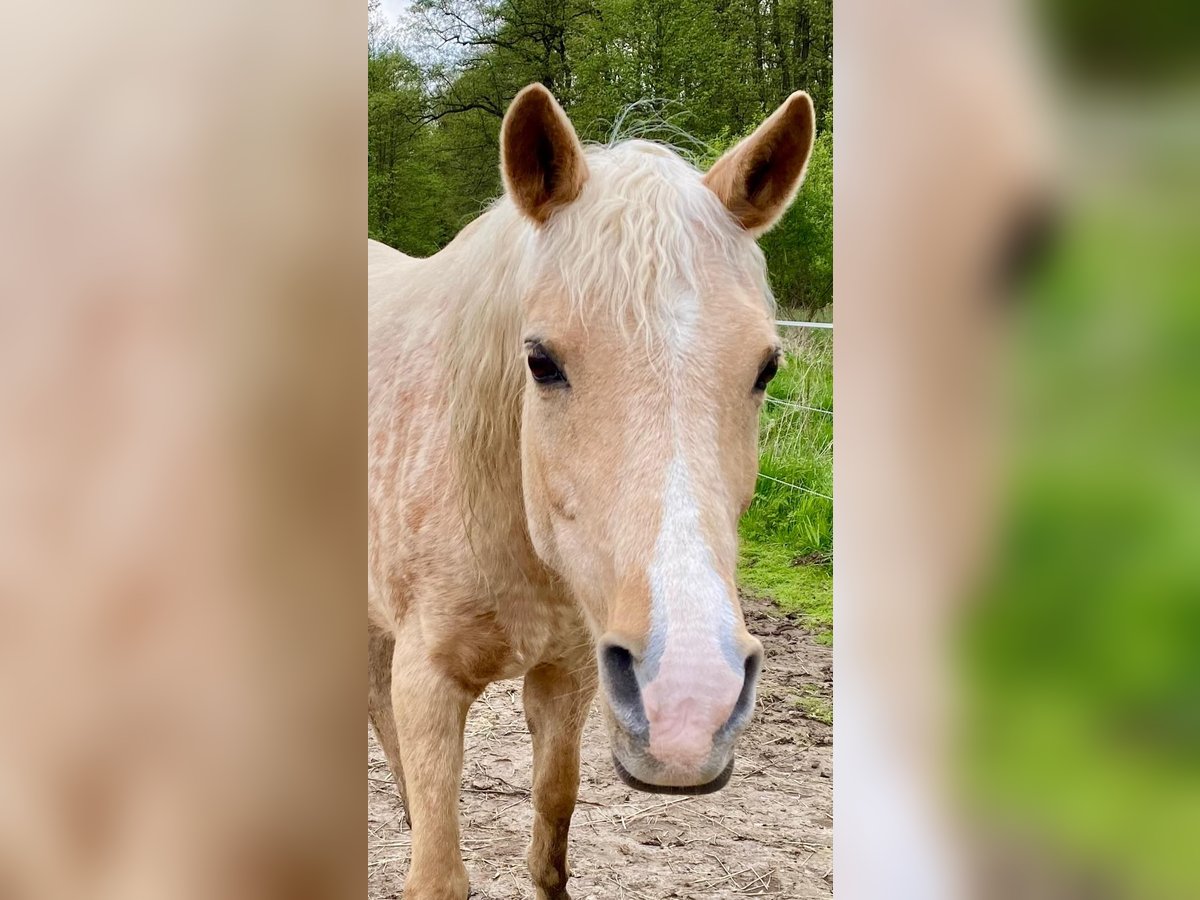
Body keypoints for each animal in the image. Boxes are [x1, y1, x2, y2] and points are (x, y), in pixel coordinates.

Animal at [364, 86, 816, 900]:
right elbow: (439, 873)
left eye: (767, 366)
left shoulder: (567, 675)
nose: (687, 702)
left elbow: (551, 840)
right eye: (540, 360)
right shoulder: (431, 682)